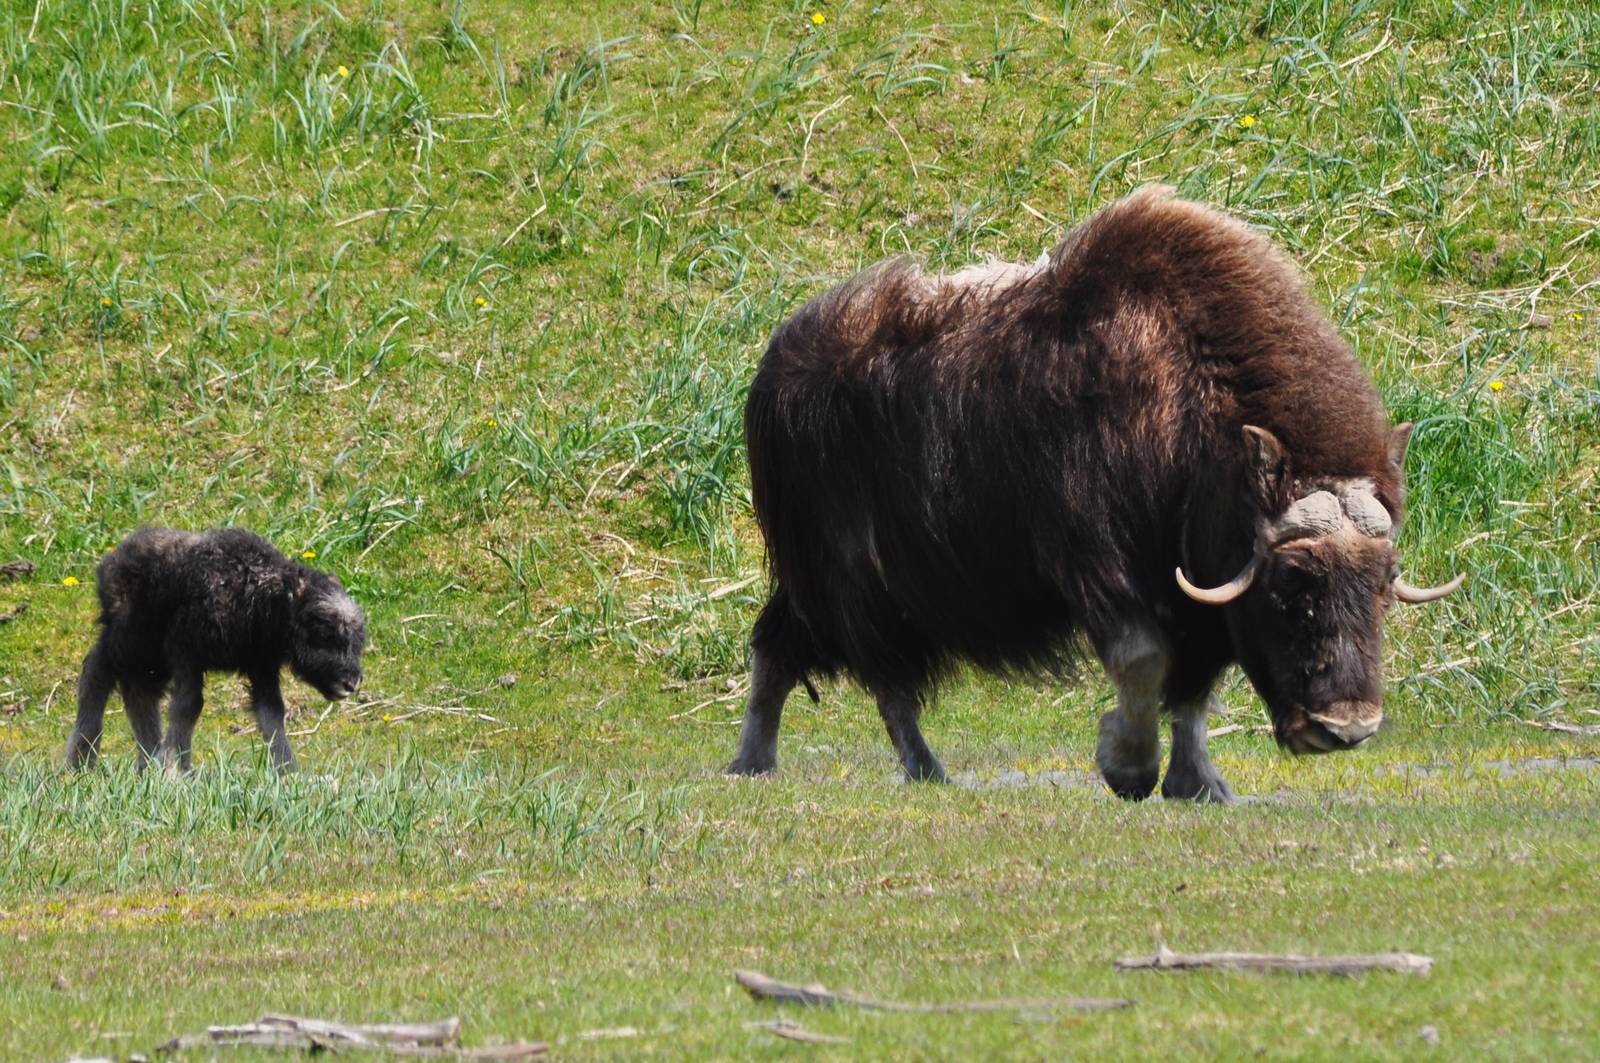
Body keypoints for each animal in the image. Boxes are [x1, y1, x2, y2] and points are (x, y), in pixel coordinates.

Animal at [725, 186, 1461, 803]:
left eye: (1384, 582)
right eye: (1291, 582)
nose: (1346, 728)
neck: (1195, 421)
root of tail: (772, 363)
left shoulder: (1198, 593)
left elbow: (1195, 691)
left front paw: (1200, 785)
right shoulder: (1100, 558)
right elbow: (1144, 660)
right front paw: (1127, 768)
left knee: (790, 645)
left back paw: (769, 762)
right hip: (857, 583)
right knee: (869, 675)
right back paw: (884, 768)